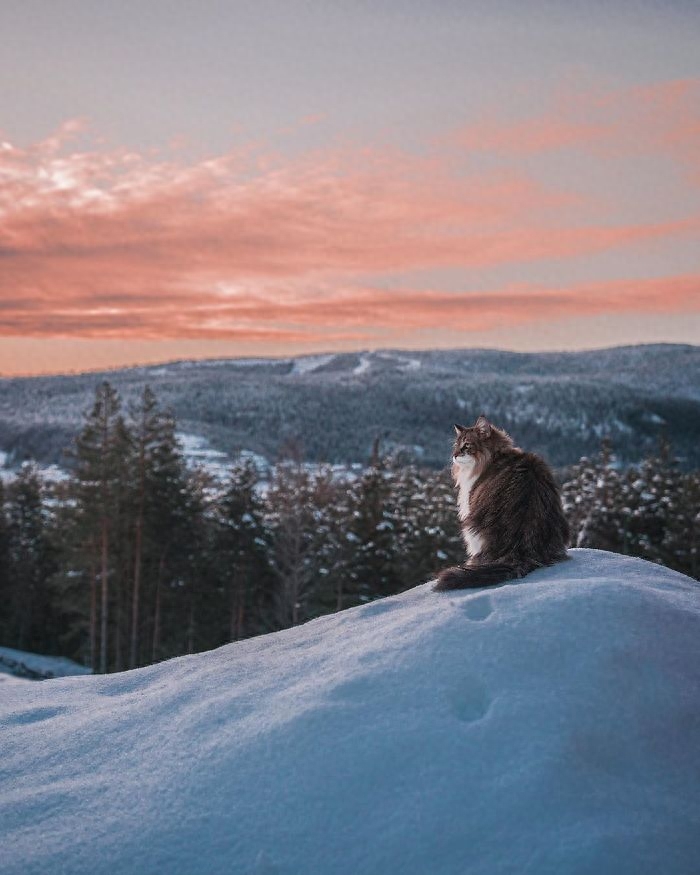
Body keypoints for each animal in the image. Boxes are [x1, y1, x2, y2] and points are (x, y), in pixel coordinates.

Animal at [434, 416, 572, 592]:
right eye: (456, 446)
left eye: (466, 445)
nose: (454, 455)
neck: (495, 457)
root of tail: (521, 549)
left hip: (470, 529)